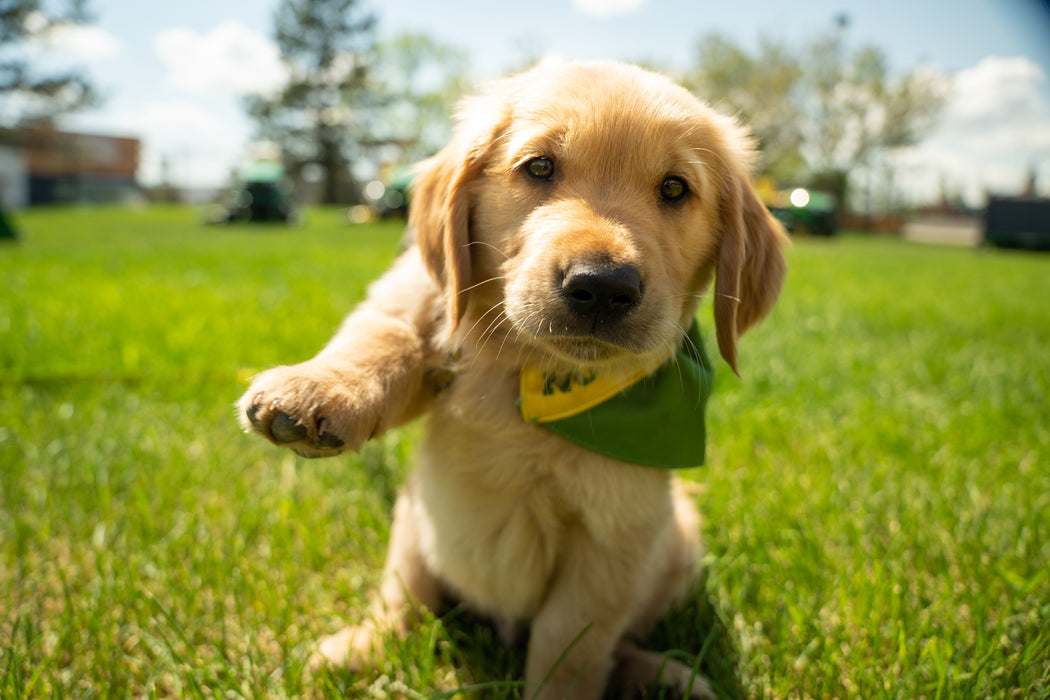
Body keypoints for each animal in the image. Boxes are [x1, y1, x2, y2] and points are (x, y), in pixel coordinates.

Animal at [236, 61, 781, 700]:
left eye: (675, 189)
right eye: (539, 167)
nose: (602, 286)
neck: (536, 370)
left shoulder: (613, 542)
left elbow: (570, 650)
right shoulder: (421, 303)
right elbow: (382, 339)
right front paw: (312, 391)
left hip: (679, 549)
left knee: (615, 644)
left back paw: (661, 675)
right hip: (412, 526)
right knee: (403, 607)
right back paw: (356, 650)